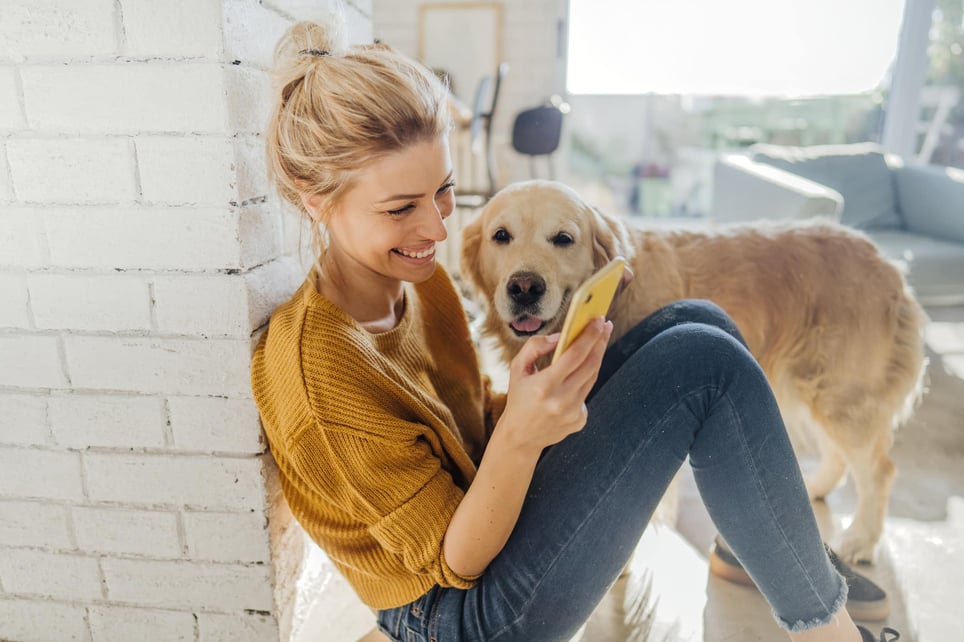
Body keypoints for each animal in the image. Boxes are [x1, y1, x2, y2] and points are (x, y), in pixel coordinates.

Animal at [464, 179, 932, 560]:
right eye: (501, 236)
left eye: (563, 239)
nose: (524, 287)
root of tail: (889, 265)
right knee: (837, 455)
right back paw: (811, 488)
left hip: (842, 395)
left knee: (878, 470)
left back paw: (860, 541)